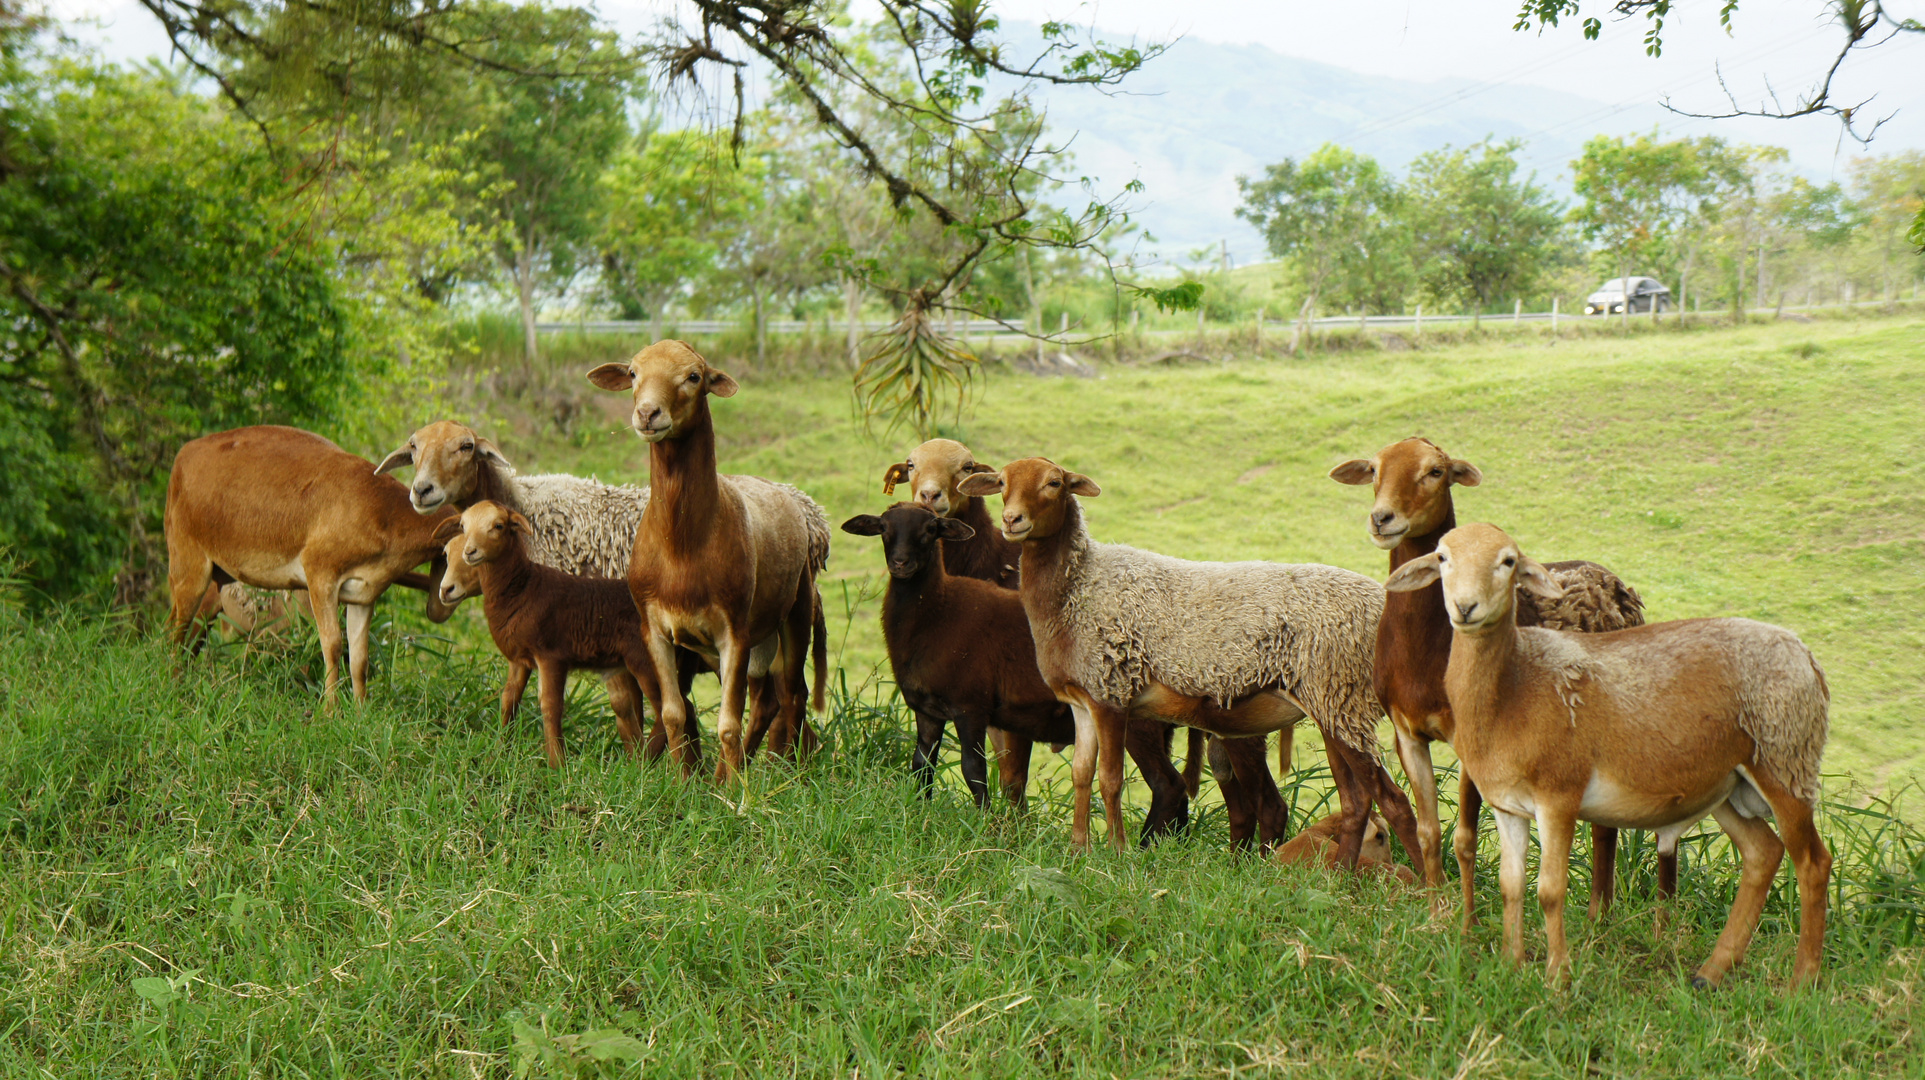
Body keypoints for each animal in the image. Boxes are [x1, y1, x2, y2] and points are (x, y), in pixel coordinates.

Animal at [1393, 523, 1824, 985]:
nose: (1465, 607)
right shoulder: (1507, 805)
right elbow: (1512, 885)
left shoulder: (1559, 796)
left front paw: (1557, 978)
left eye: (1508, 561)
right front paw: (1511, 965)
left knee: (1813, 864)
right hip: (1727, 785)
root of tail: (1807, 656)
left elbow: (1550, 890)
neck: (1513, 687)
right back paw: (1711, 971)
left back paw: (1802, 980)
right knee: (1763, 853)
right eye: (1442, 557)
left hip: (1786, 763)